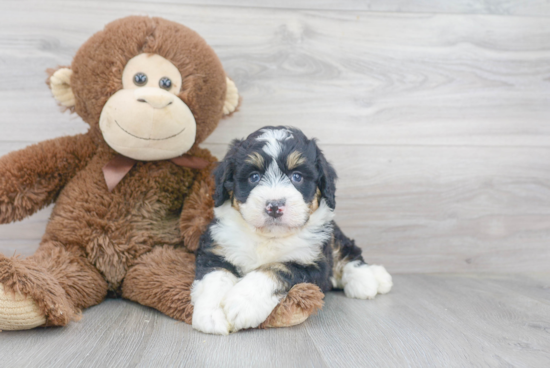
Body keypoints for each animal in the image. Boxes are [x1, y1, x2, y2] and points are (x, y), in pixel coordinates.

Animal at [192, 126, 394, 334]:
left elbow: (276, 269)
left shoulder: (313, 263)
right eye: (254, 177)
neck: (268, 237)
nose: (274, 206)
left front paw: (243, 303)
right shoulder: (216, 249)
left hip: (333, 237)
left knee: (349, 251)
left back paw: (369, 279)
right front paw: (211, 315)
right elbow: (215, 278)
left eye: (297, 176)